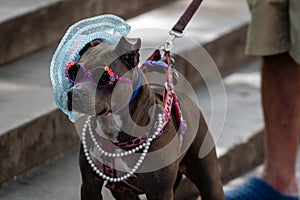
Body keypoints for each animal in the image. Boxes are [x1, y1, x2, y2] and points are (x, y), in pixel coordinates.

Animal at [66, 36, 225, 200]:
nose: (73, 93)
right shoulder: (90, 185)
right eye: (74, 73)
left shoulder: (160, 192)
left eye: (103, 77)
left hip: (209, 181)